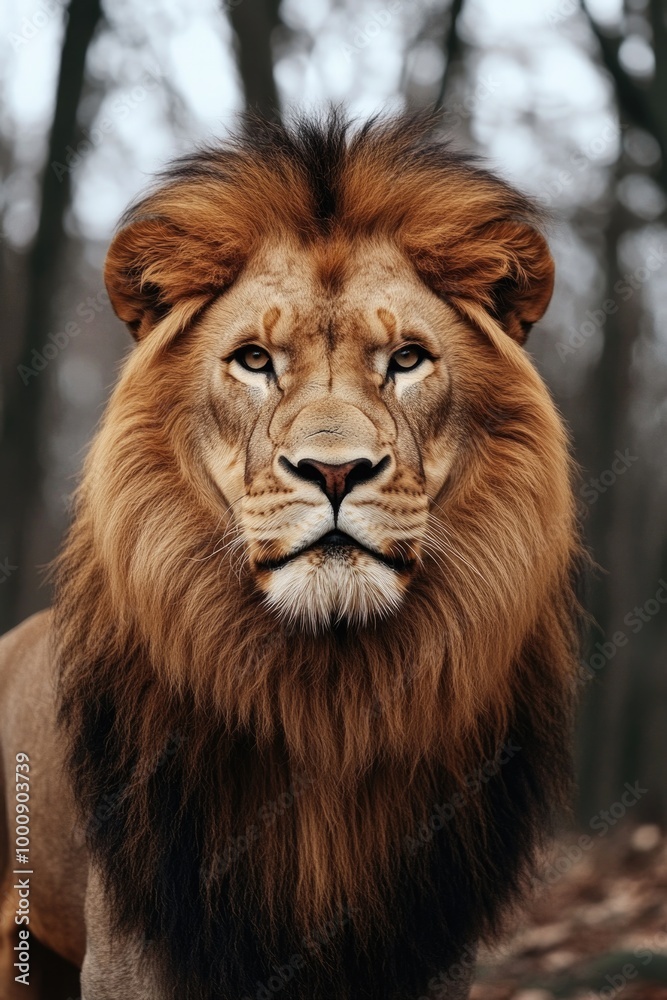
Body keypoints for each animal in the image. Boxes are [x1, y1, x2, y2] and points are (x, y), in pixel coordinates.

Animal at [0, 112, 581, 1000]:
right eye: (253, 359)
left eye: (406, 359)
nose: (334, 471)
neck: (323, 695)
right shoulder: (139, 947)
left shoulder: (425, 946)